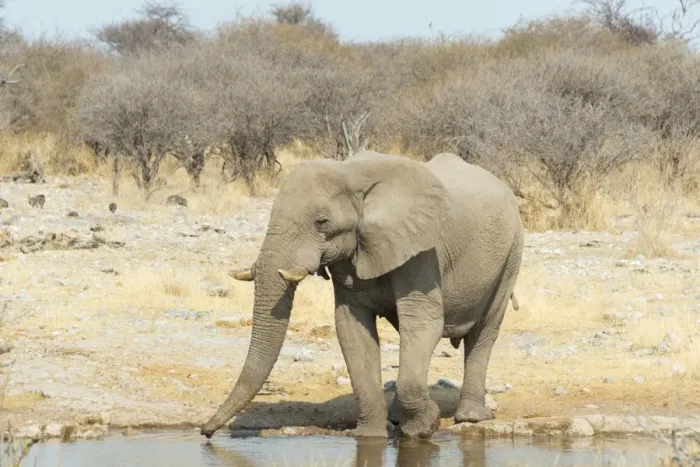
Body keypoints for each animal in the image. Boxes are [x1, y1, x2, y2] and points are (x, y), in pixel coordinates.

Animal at [200, 150, 524, 440]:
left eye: (321, 222)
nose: (205, 432)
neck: (350, 173)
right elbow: (352, 330)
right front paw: (370, 436)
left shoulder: (422, 251)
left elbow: (424, 324)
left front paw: (424, 428)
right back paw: (400, 418)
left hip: (511, 255)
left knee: (483, 332)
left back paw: (470, 417)